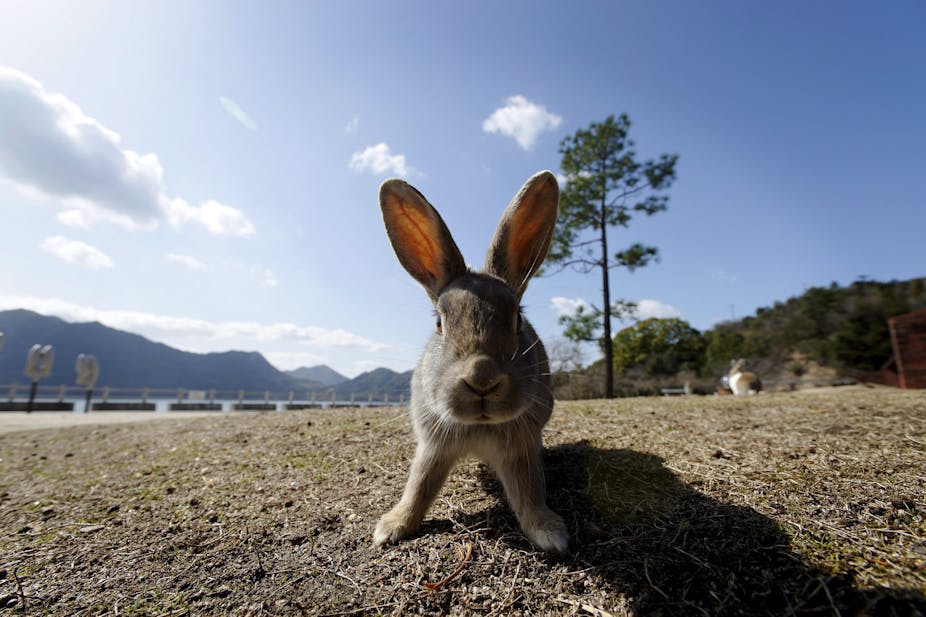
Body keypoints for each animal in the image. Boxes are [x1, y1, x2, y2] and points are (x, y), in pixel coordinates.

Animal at [373, 170, 568, 553]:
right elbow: (419, 486)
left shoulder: (520, 448)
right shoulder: (433, 446)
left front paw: (549, 533)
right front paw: (392, 528)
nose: (482, 377)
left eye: (517, 320)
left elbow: (529, 491)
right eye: (439, 323)